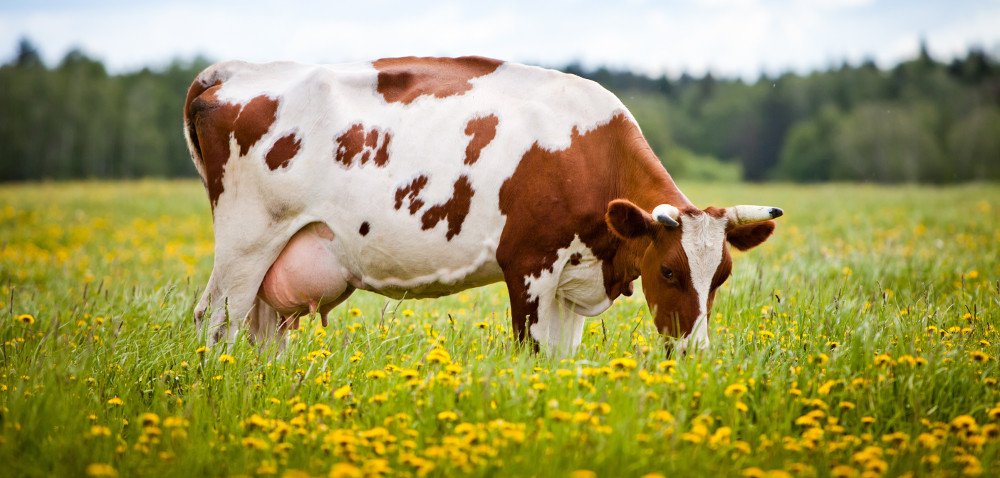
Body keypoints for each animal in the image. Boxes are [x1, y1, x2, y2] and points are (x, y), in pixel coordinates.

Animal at [186, 57, 780, 354]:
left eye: (721, 276)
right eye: (668, 271)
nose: (696, 353)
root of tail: (235, 71)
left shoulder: (572, 280)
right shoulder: (530, 266)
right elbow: (532, 354)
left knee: (265, 336)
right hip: (247, 242)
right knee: (215, 324)